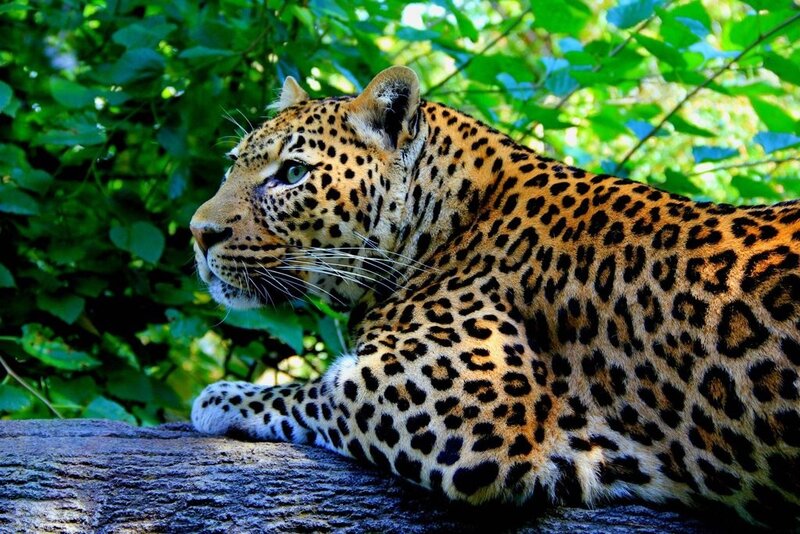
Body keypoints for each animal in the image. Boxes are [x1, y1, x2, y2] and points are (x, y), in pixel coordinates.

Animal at [190, 66, 800, 527]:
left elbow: (313, 390)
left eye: (292, 172)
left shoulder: (465, 404)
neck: (451, 219)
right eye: (233, 163)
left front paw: (222, 398)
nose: (198, 233)